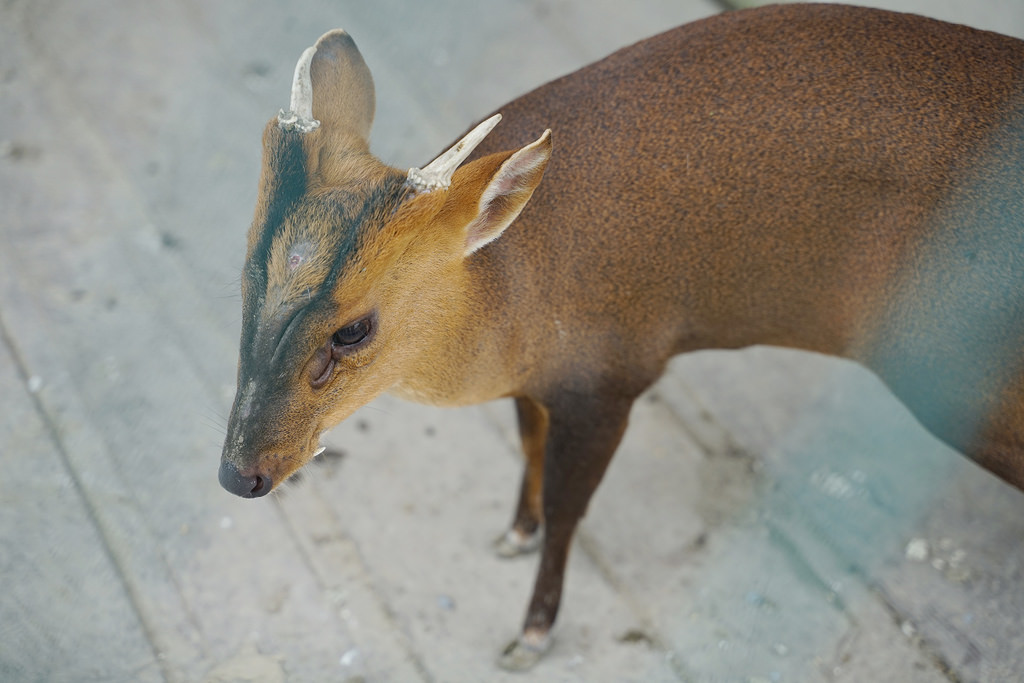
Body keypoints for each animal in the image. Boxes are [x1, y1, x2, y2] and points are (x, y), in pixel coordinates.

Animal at [220, 2, 1024, 671]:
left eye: (355, 328)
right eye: (245, 275)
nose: (240, 474)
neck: (513, 288)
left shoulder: (611, 379)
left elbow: (570, 507)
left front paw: (531, 633)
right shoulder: (543, 379)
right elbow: (529, 443)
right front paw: (514, 532)